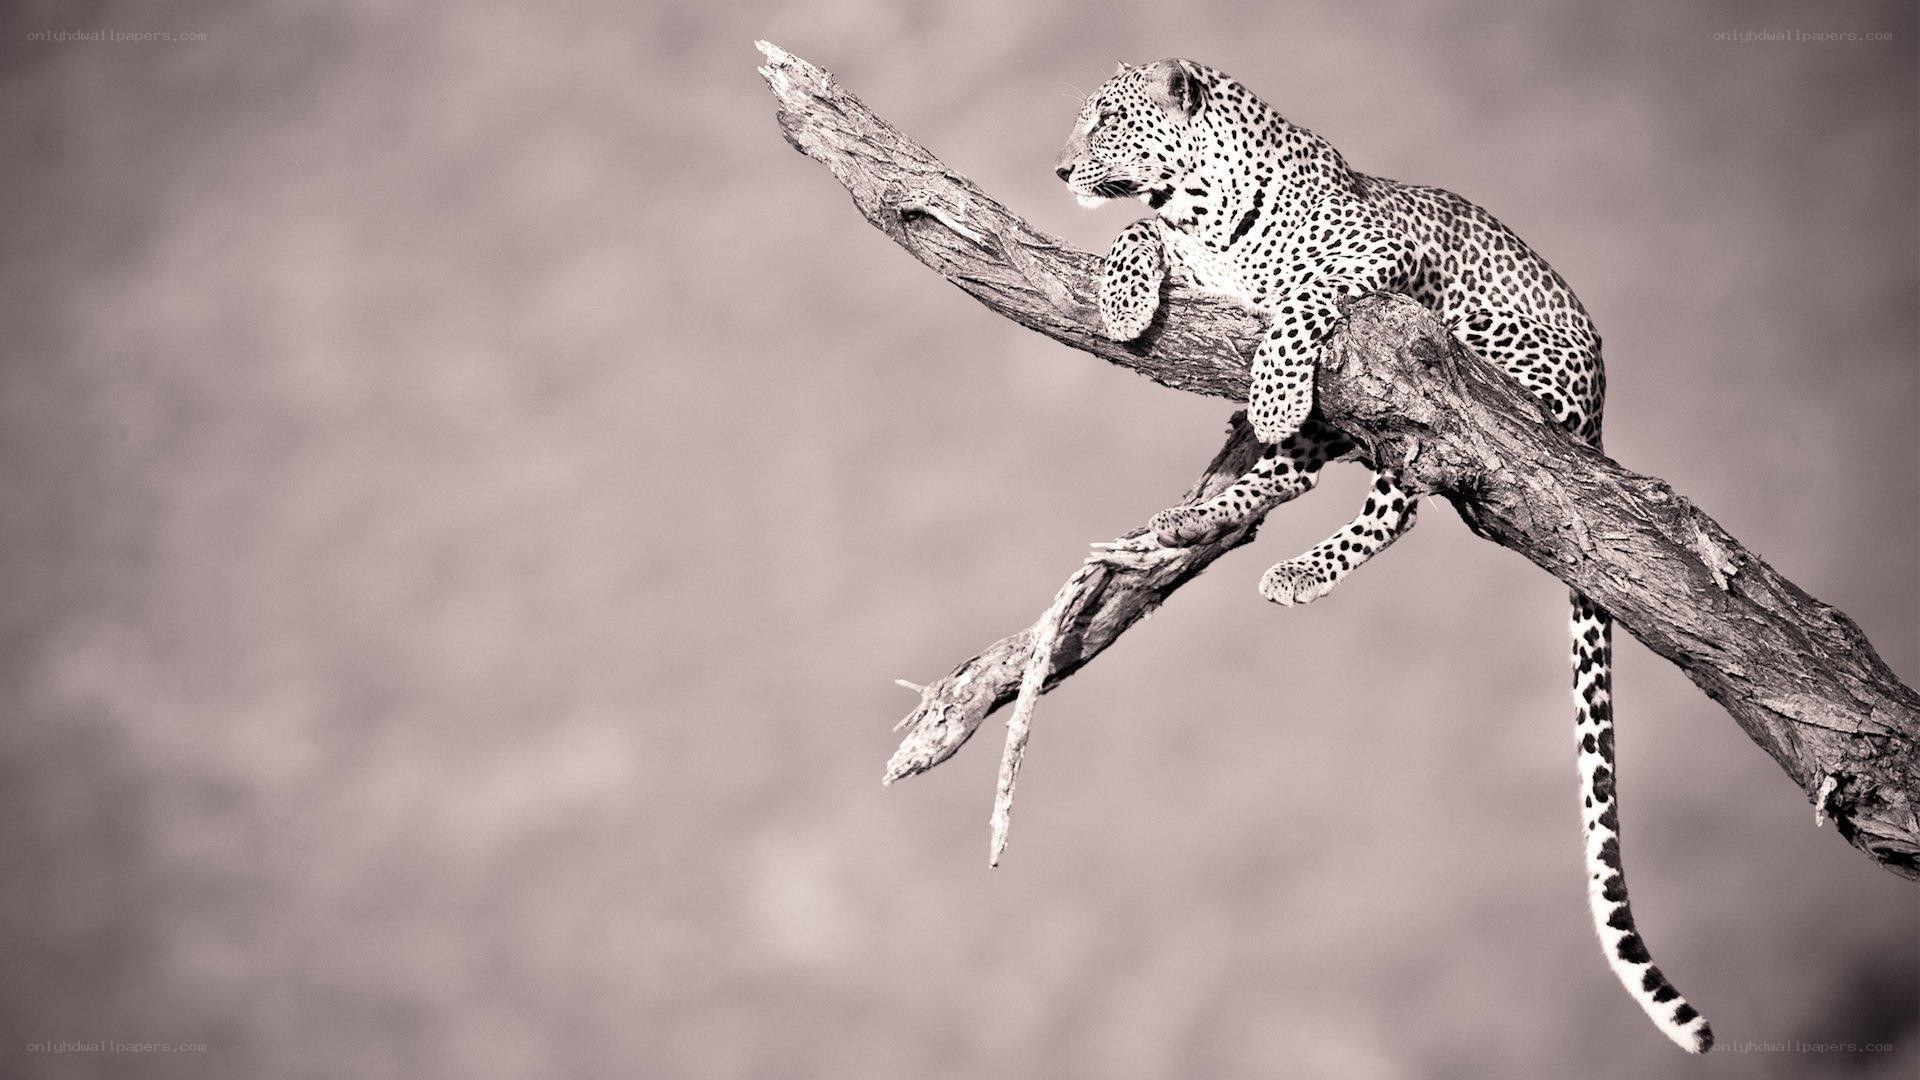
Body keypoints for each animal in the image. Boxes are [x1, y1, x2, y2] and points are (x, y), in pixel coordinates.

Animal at [1055, 58, 1712, 1054]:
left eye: (1106, 121)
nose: (1058, 169)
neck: (1200, 207)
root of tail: (1599, 409)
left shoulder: (1373, 258)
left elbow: (1297, 299)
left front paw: (1272, 385)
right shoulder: (1189, 251)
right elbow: (1137, 232)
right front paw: (1127, 301)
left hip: (1456, 370)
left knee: (1400, 495)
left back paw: (1288, 548)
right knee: (1299, 477)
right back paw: (1190, 521)